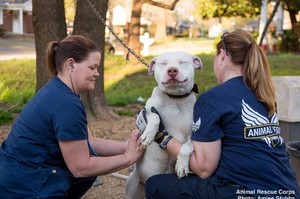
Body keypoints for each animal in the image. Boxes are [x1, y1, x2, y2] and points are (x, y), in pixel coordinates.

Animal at [125, 51, 203, 199]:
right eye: (163, 63)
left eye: (183, 62)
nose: (172, 70)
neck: (175, 100)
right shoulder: (146, 111)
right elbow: (154, 117)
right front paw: (149, 135)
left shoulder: (194, 134)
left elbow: (187, 146)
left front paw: (182, 165)